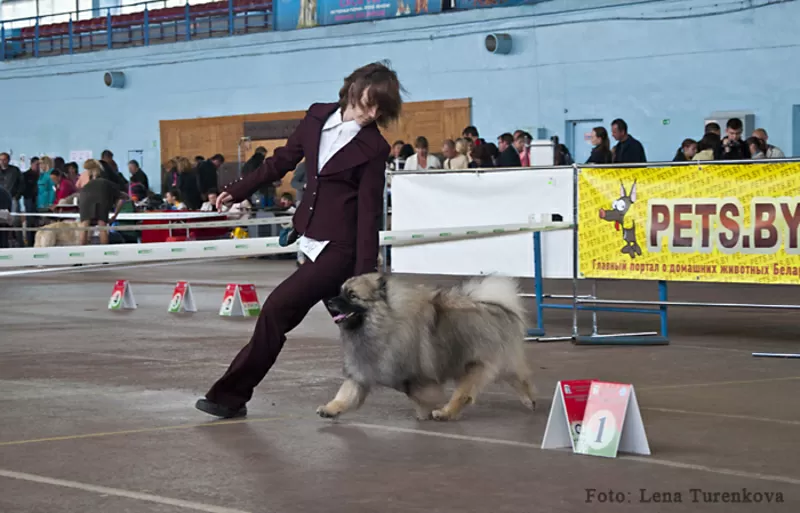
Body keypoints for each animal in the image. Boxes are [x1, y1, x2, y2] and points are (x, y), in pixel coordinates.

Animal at [316, 272, 536, 420]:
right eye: (340, 292)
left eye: (352, 296)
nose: (330, 301)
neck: (382, 323)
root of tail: (495, 307)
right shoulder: (361, 373)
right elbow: (346, 395)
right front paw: (330, 409)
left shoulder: (415, 377)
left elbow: (417, 392)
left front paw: (426, 411)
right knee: (518, 379)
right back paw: (529, 400)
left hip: (477, 366)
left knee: (464, 394)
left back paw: (445, 413)